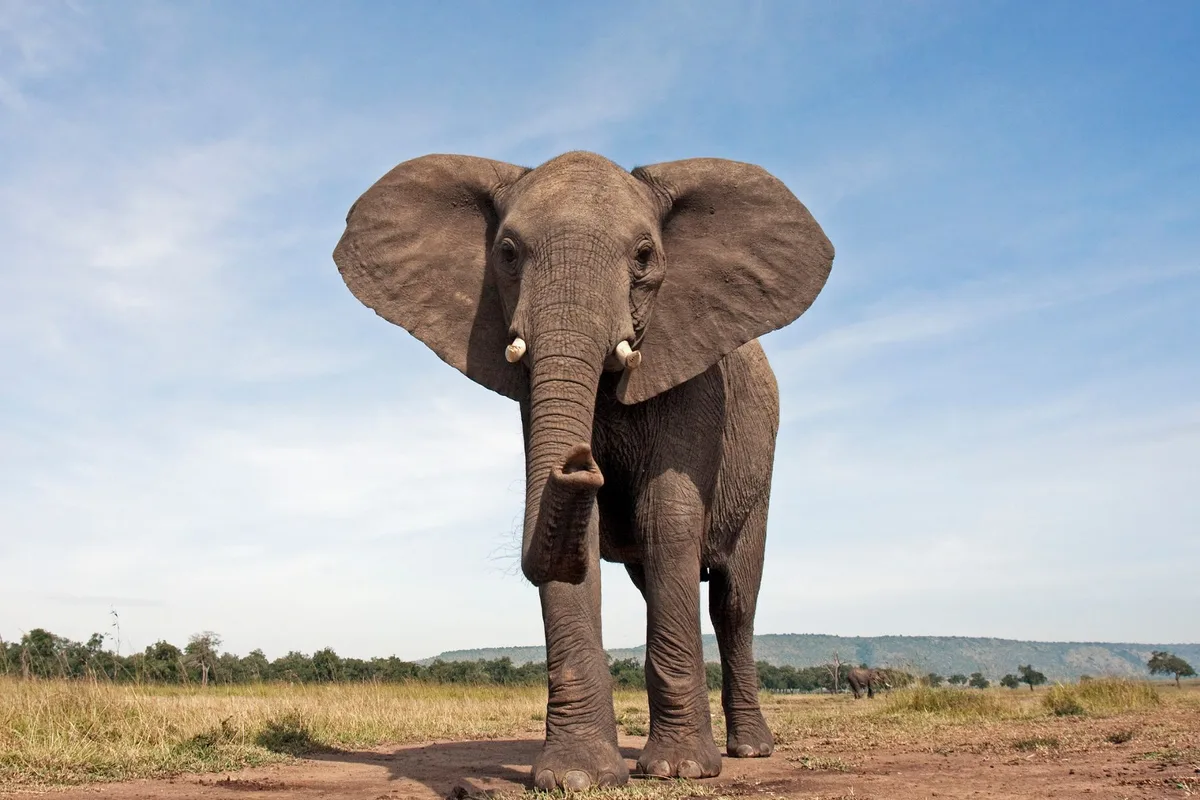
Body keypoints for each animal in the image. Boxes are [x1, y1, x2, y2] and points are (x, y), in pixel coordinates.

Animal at [332, 151, 834, 789]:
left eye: (644, 256)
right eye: (507, 253)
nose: (580, 461)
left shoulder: (696, 377)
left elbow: (667, 517)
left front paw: (679, 771)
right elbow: (580, 532)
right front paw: (579, 778)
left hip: (760, 474)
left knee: (734, 602)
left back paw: (747, 751)